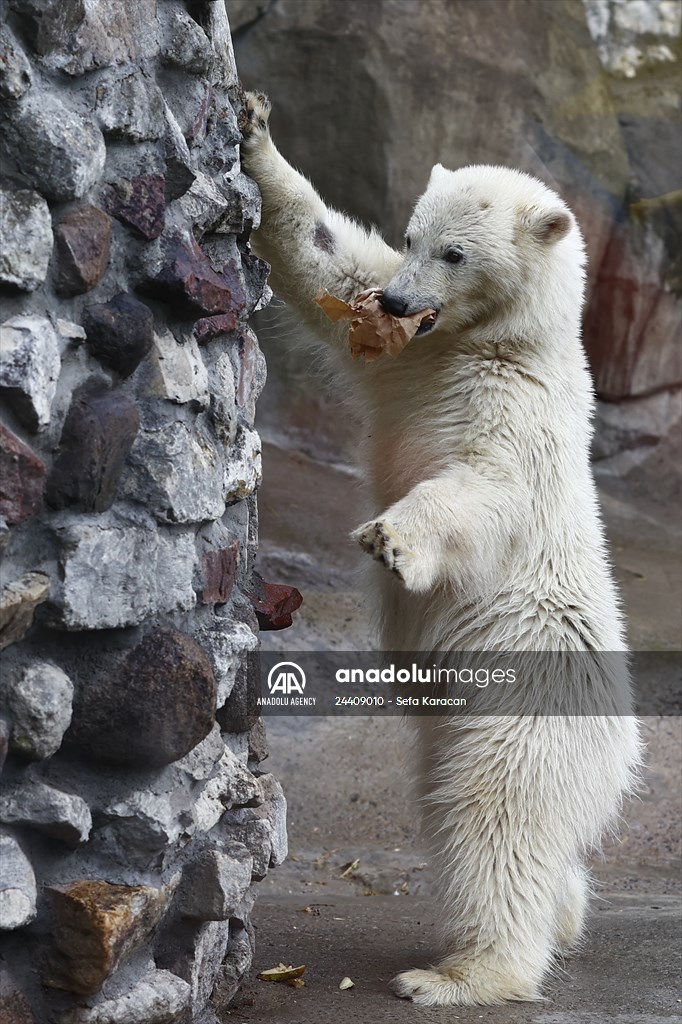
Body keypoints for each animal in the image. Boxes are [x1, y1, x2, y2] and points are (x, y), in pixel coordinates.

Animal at [240, 92, 641, 1007]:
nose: (397, 301)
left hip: (525, 709)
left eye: (456, 252)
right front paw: (253, 131)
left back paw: (458, 974)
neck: (494, 341)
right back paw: (561, 920)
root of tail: (622, 751)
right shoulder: (413, 354)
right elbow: (326, 260)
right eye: (415, 233)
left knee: (496, 819)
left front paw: (389, 537)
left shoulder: (514, 411)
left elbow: (480, 491)